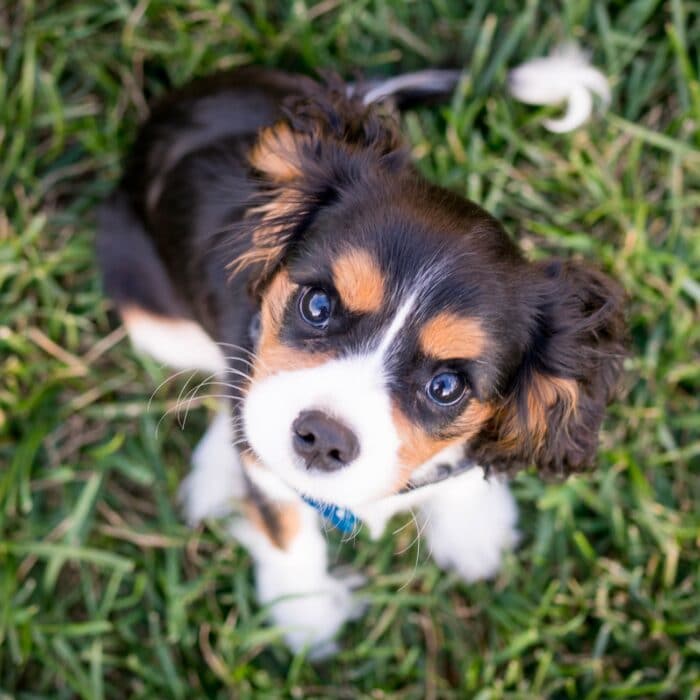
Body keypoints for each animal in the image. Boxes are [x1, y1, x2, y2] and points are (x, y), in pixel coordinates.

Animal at [97, 67, 624, 656]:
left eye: (447, 386)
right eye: (318, 305)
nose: (323, 438)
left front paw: (473, 528)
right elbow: (285, 524)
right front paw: (304, 617)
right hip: (150, 312)